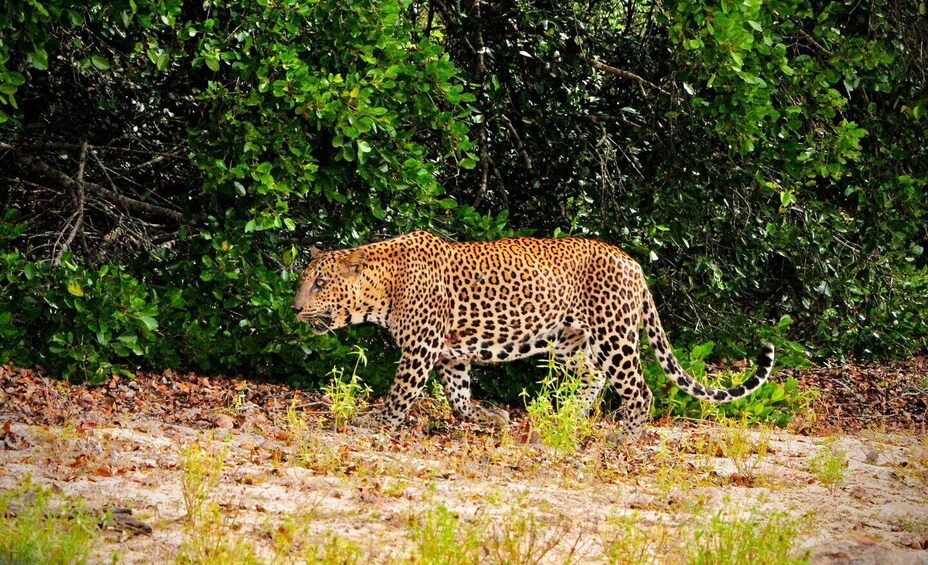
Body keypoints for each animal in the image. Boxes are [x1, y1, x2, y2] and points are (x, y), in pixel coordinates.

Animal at [292, 231, 775, 442]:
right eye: (305, 280)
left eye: (320, 283)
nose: (294, 307)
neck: (384, 287)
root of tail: (634, 263)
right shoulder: (450, 353)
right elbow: (458, 395)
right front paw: (486, 419)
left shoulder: (422, 348)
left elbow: (400, 392)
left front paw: (374, 423)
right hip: (570, 341)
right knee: (594, 378)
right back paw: (566, 419)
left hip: (614, 335)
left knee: (639, 390)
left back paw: (624, 437)